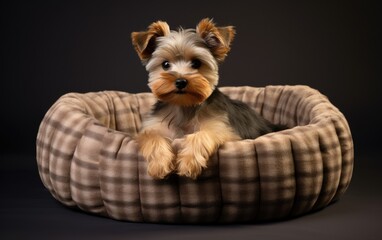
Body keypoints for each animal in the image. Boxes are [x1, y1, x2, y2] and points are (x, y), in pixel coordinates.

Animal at [132, 18, 284, 179]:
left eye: (196, 63)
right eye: (165, 64)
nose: (180, 81)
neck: (184, 106)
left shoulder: (223, 129)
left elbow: (203, 134)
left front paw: (188, 162)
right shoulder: (153, 127)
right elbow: (151, 136)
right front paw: (160, 164)